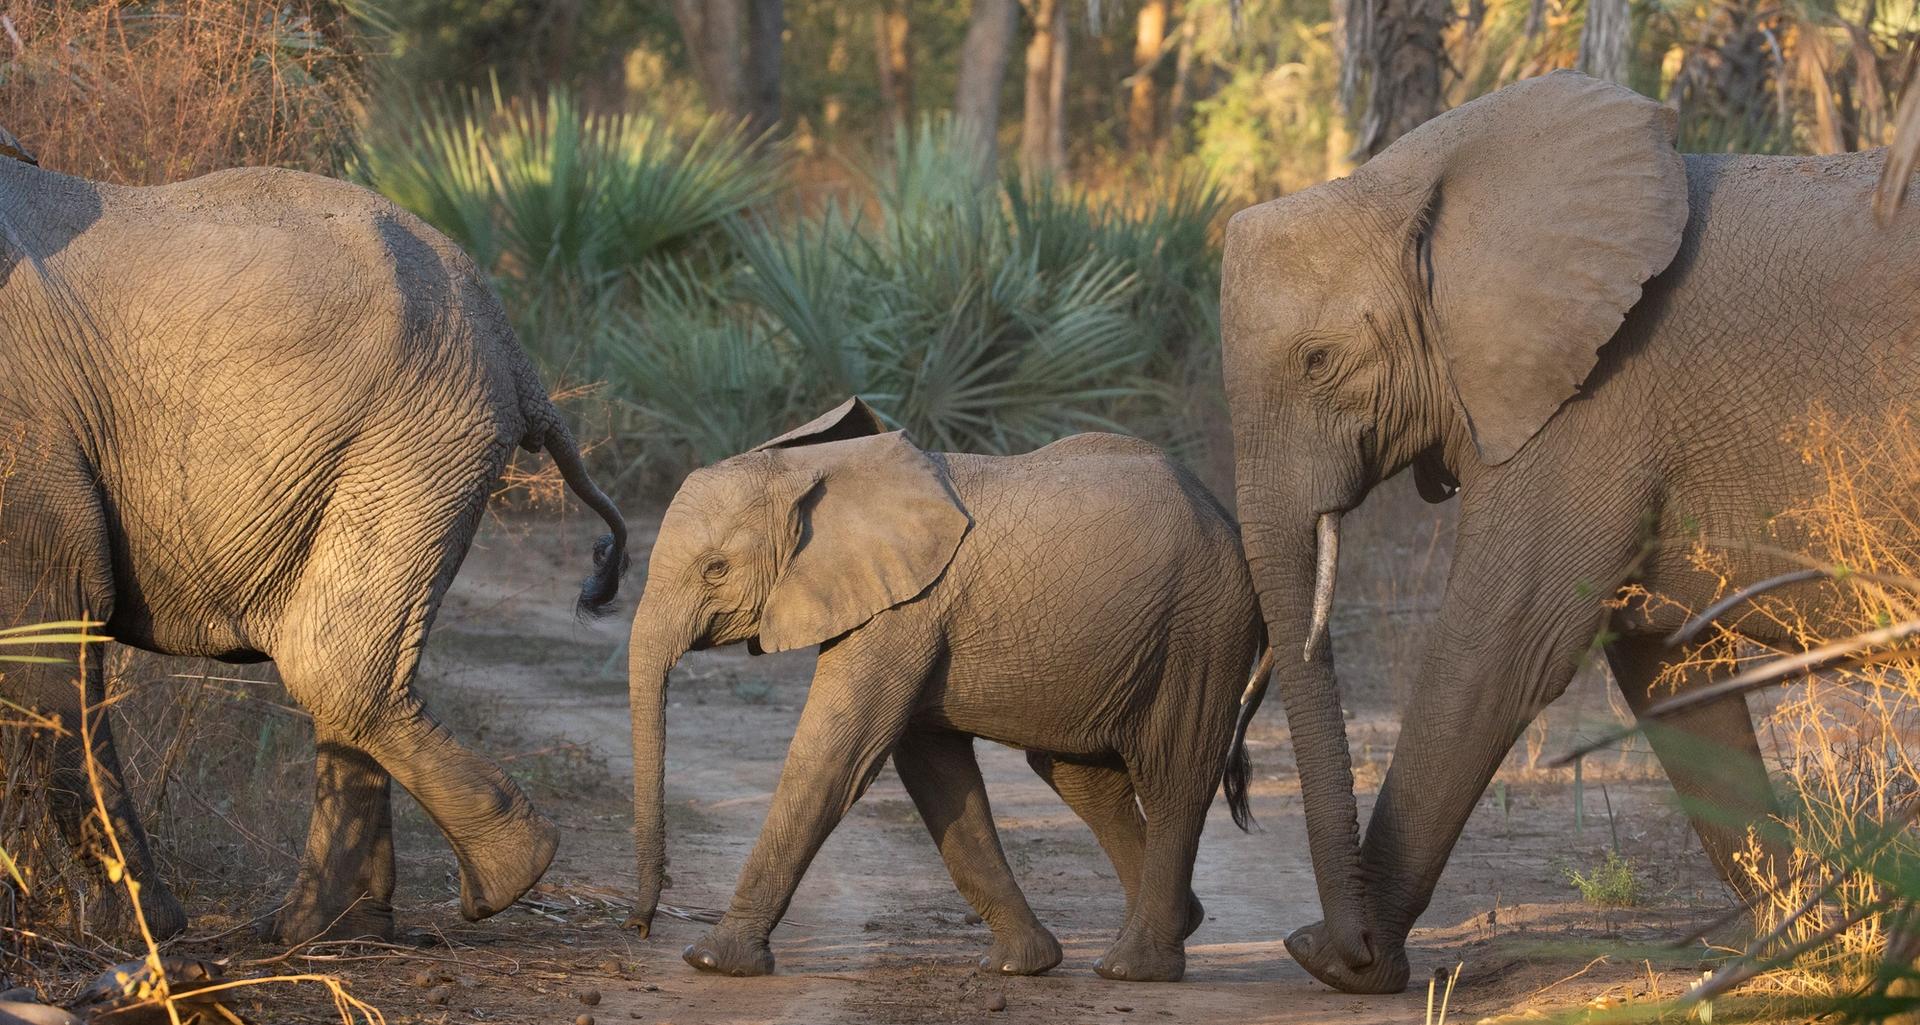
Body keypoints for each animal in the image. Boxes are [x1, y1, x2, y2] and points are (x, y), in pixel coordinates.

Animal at [0, 144, 627, 943]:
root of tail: (519, 359)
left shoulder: (23, 427)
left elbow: (45, 638)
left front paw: (146, 935)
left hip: (416, 432)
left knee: (331, 662)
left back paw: (503, 876)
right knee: (350, 663)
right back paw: (326, 930)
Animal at [623, 398, 1269, 983]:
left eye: (715, 569)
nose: (641, 928)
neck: (817, 470)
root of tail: (1226, 517)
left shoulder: (908, 609)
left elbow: (838, 756)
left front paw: (712, 961)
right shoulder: (908, 612)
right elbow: (934, 770)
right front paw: (1020, 966)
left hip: (1201, 627)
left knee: (1173, 775)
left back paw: (1133, 970)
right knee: (1082, 779)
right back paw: (1179, 924)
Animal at [1219, 69, 1920, 993]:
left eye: (1318, 361)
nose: (1337, 942)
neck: (1411, 183)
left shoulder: (1594, 406)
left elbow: (1501, 647)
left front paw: (1341, 966)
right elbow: (1668, 668)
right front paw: (1809, 946)